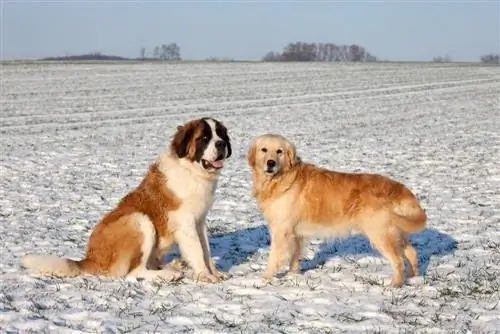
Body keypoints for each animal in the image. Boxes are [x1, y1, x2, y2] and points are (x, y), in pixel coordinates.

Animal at [22, 116, 233, 284]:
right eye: (204, 139)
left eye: (221, 136)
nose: (221, 144)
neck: (191, 171)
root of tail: (90, 258)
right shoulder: (185, 224)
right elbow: (197, 251)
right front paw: (205, 276)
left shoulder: (200, 221)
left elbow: (206, 250)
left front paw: (215, 272)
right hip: (139, 220)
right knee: (134, 271)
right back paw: (168, 274)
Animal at [246, 133, 426, 288]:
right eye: (264, 149)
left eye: (279, 151)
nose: (271, 163)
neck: (281, 179)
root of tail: (399, 188)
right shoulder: (297, 233)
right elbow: (295, 257)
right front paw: (293, 275)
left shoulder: (281, 230)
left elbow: (274, 256)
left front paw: (264, 278)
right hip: (397, 232)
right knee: (411, 252)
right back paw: (414, 278)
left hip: (380, 234)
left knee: (398, 261)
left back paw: (395, 285)